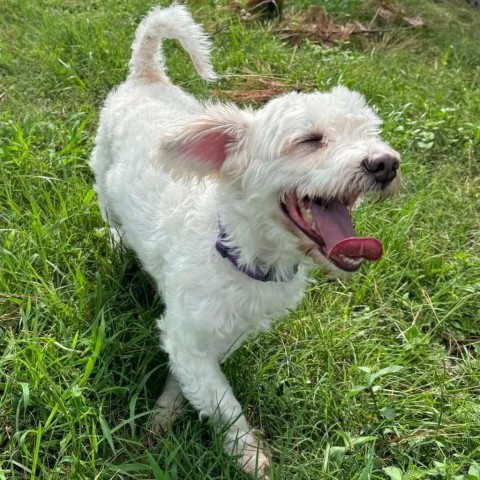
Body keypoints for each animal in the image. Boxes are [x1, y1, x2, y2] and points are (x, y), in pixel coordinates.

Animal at [89, 5, 398, 478]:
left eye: (371, 134)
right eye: (310, 140)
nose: (386, 163)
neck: (236, 247)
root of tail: (147, 76)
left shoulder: (215, 336)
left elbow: (193, 380)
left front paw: (168, 407)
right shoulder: (188, 331)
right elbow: (222, 402)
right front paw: (246, 453)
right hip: (103, 173)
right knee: (109, 213)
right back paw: (117, 242)